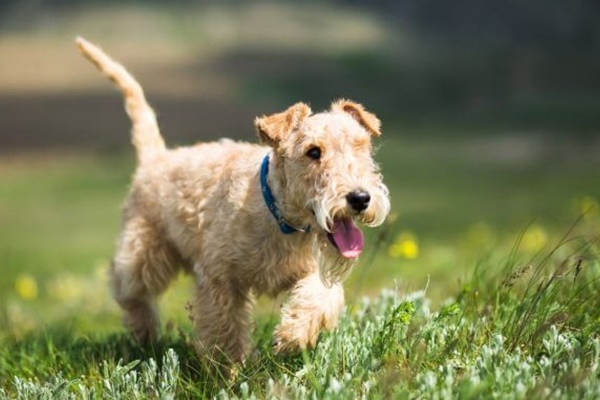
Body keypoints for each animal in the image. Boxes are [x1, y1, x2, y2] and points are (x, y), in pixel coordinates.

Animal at [75, 37, 392, 366]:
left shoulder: (310, 269)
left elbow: (321, 296)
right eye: (313, 151)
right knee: (128, 288)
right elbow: (225, 328)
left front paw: (292, 335)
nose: (360, 198)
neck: (279, 215)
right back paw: (144, 335)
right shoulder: (221, 277)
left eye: (361, 145)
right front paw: (229, 369)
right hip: (143, 251)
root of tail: (156, 157)